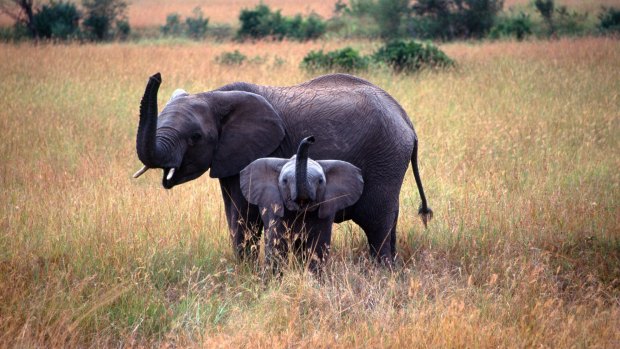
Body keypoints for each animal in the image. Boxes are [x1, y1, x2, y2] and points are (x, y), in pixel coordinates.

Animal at [237, 136, 364, 272]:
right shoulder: (275, 209)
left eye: (320, 181)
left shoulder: (326, 210)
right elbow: (277, 245)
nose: (311, 139)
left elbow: (317, 246)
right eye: (284, 181)